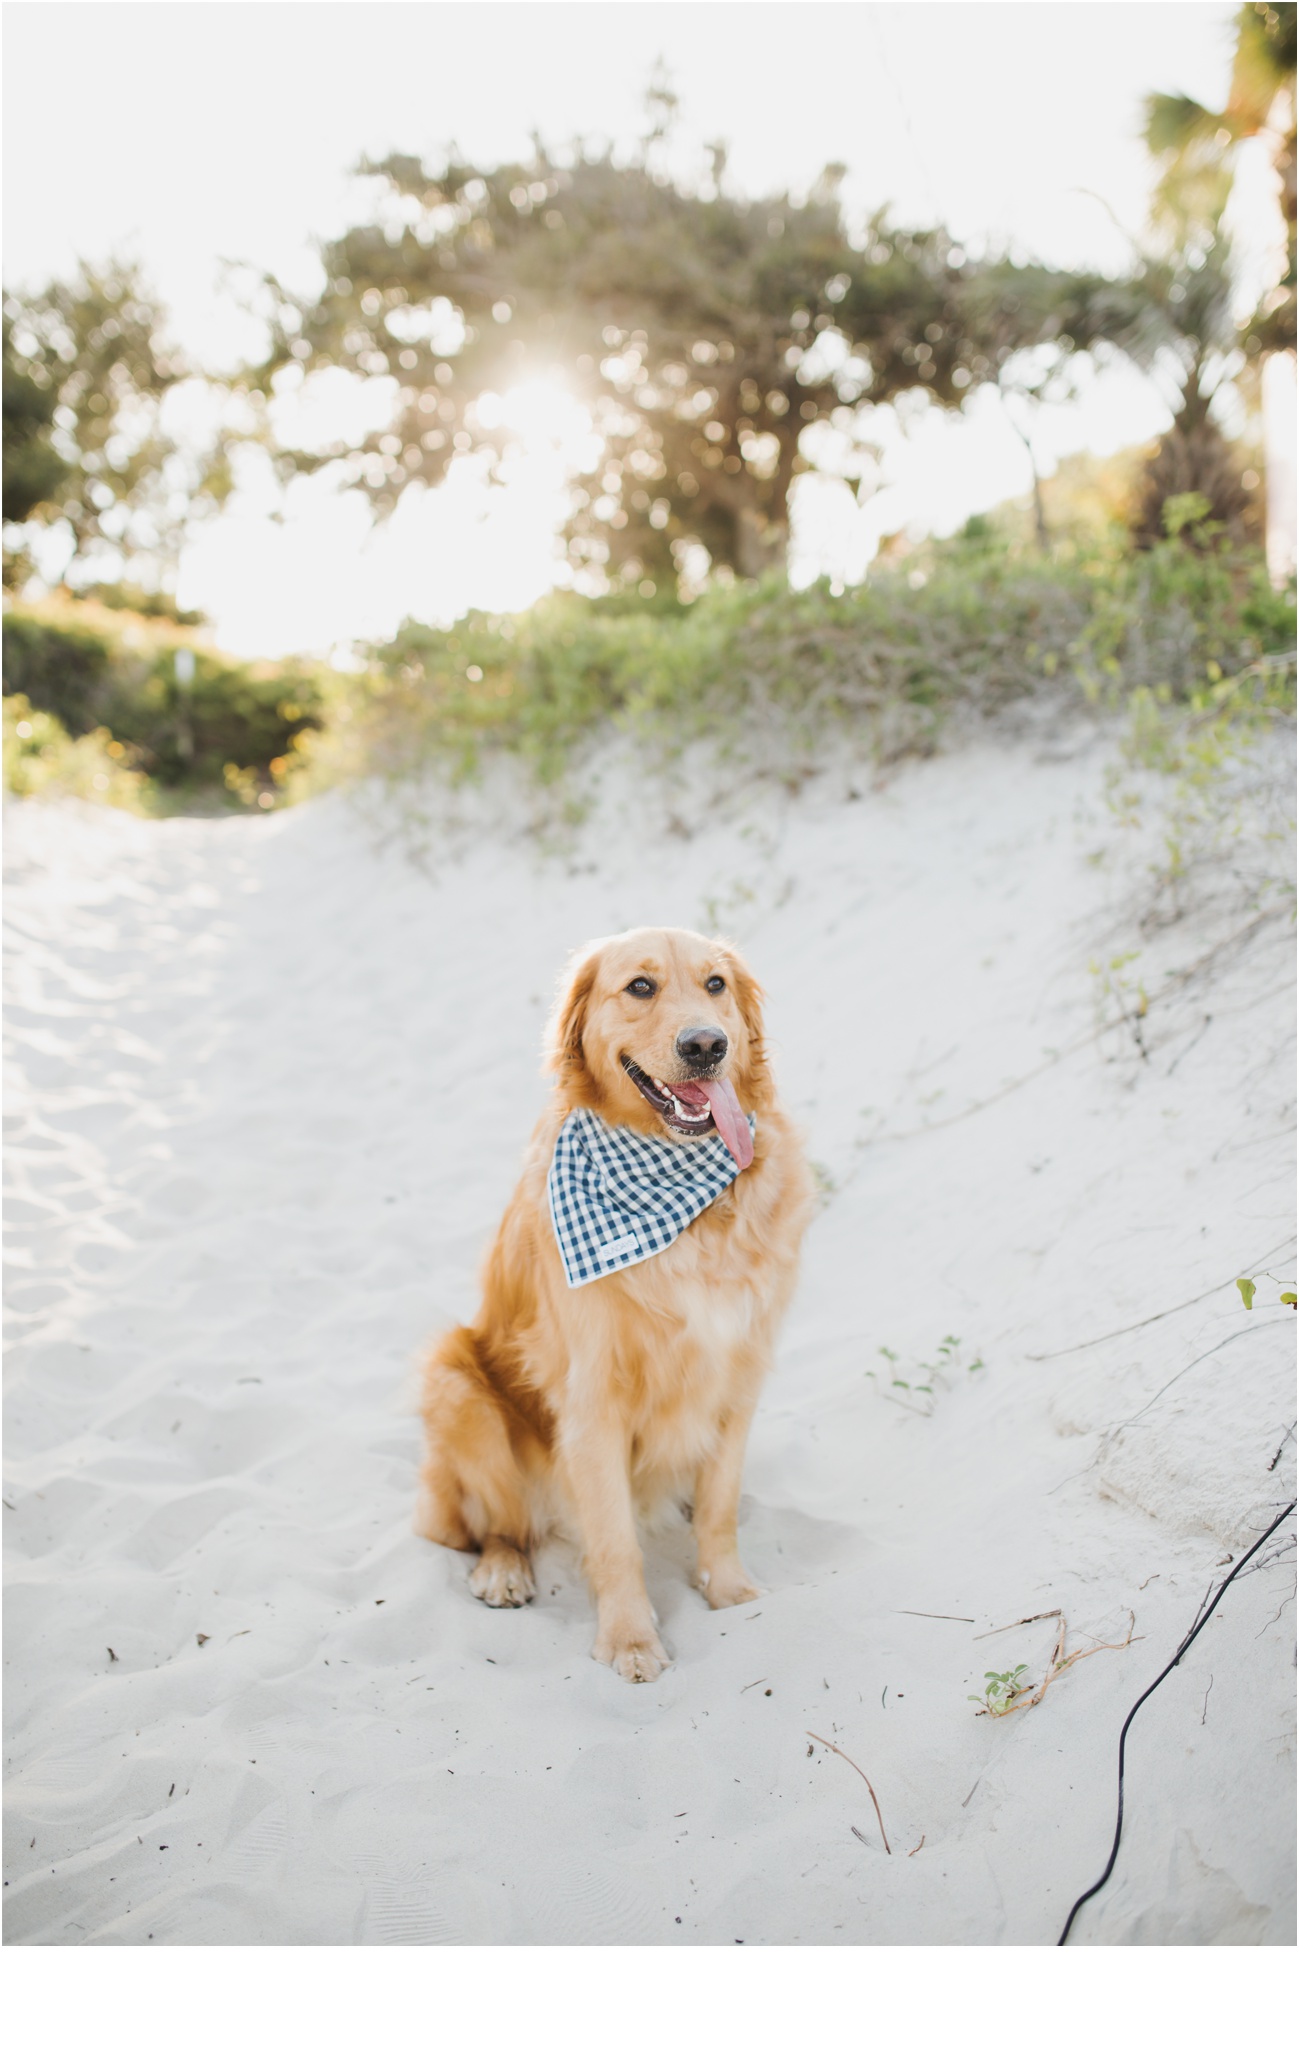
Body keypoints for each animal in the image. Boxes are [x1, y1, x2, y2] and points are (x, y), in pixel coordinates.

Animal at [413, 929, 803, 1679]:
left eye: (715, 984)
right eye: (640, 987)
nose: (706, 1045)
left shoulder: (739, 1373)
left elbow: (720, 1508)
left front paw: (731, 1592)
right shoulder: (593, 1400)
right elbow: (615, 1541)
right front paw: (629, 1639)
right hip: (453, 1381)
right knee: (494, 1526)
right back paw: (502, 1570)